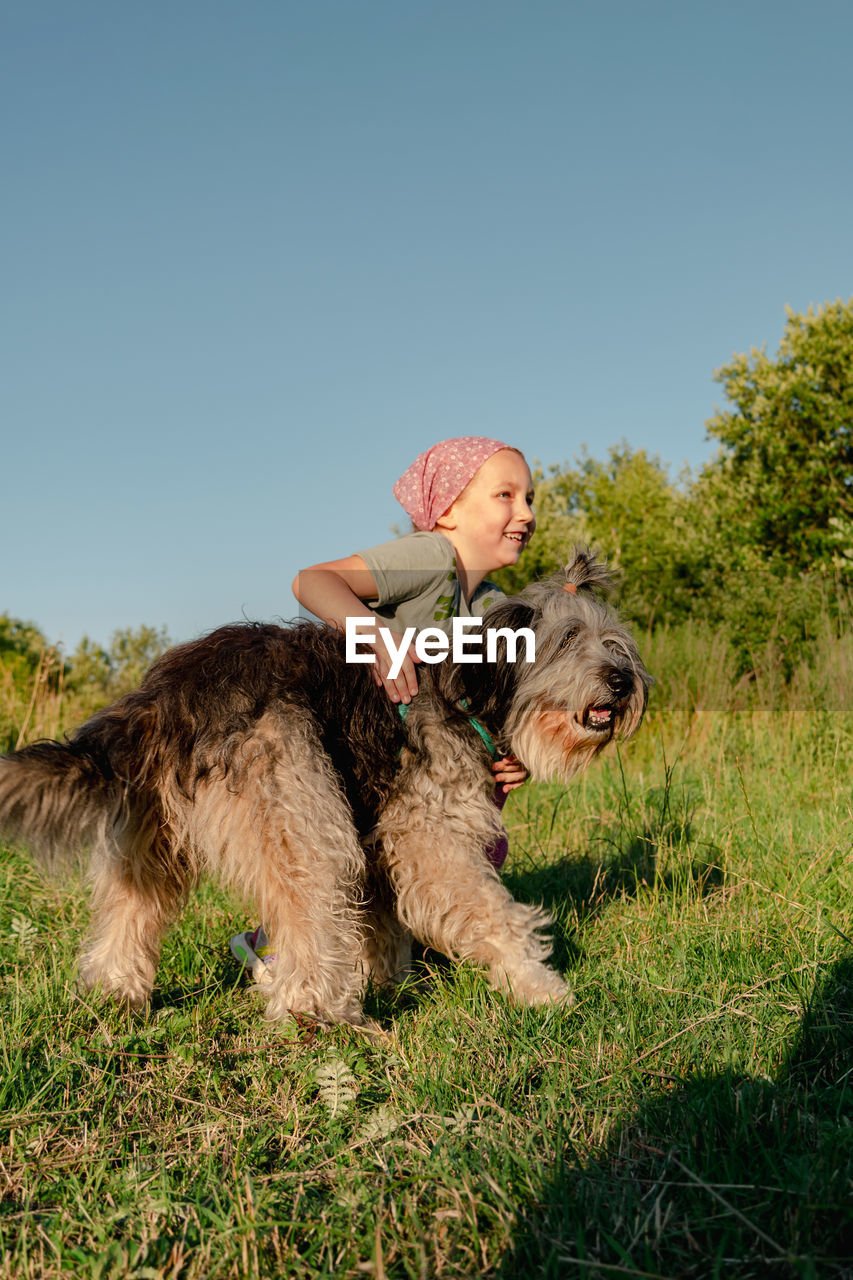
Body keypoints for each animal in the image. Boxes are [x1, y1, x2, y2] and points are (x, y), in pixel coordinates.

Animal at [0, 547, 645, 1018]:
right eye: (566, 640)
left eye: (613, 640)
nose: (622, 680)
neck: (469, 686)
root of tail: (163, 698)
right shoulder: (428, 839)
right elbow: (493, 913)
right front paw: (540, 985)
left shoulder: (383, 833)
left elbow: (382, 925)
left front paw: (387, 980)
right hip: (297, 811)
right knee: (310, 908)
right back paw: (317, 1013)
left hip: (153, 837)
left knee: (131, 911)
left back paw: (116, 994)